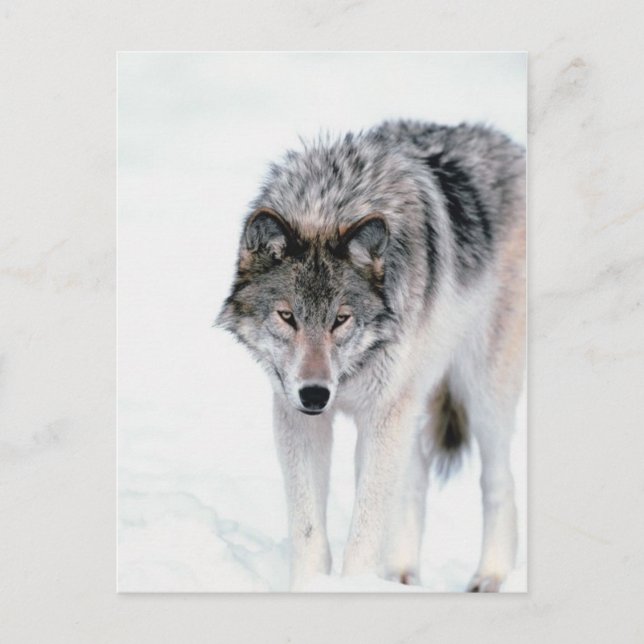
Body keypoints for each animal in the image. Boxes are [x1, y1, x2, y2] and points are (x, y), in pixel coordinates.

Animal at [218, 120, 525, 592]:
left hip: (480, 394)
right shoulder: (298, 417)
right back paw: (401, 575)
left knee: (499, 483)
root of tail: (507, 143)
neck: (332, 205)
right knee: (414, 480)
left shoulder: (383, 413)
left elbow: (364, 532)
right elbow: (309, 530)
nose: (314, 395)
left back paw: (488, 577)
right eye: (288, 316)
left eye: (340, 319)